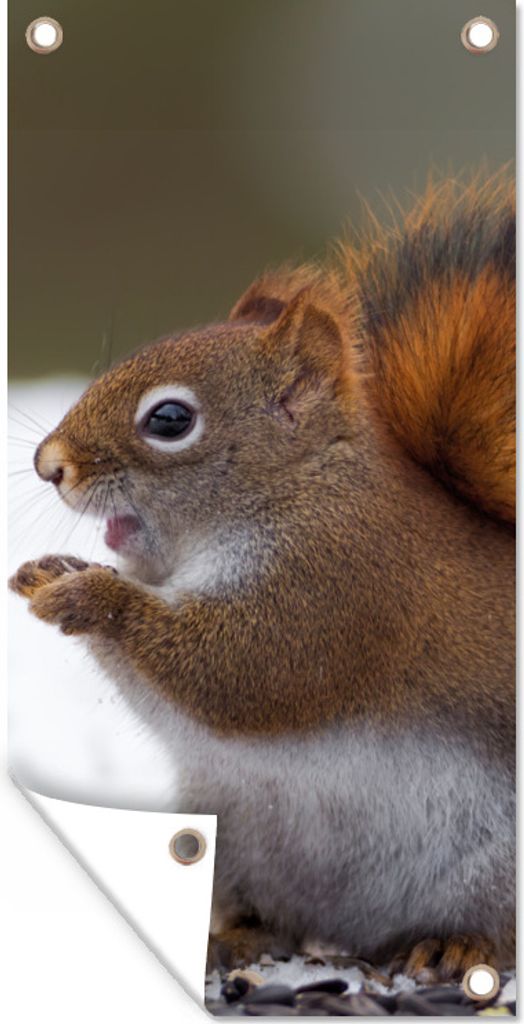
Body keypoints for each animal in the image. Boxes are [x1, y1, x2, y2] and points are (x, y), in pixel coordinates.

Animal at [10, 172, 515, 981]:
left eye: (171, 419)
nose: (47, 465)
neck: (292, 487)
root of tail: (353, 930)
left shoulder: (339, 583)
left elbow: (240, 673)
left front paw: (91, 595)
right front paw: (51, 572)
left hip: (491, 869)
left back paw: (455, 944)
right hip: (228, 831)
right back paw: (235, 935)